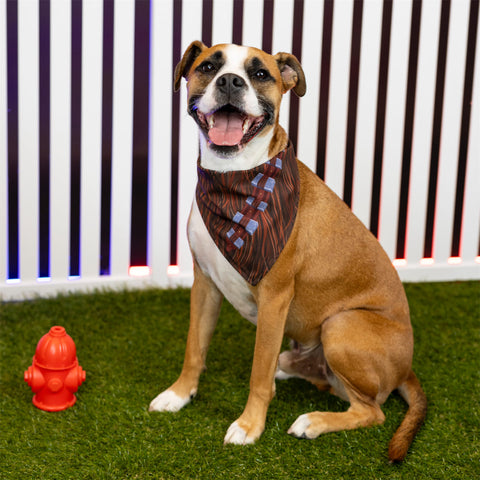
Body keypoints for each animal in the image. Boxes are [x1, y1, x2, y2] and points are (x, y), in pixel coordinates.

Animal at [150, 43, 428, 464]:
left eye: (259, 74)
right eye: (208, 66)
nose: (229, 81)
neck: (233, 181)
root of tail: (408, 369)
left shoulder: (274, 298)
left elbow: (257, 373)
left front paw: (249, 425)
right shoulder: (205, 285)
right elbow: (194, 349)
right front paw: (179, 395)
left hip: (341, 324)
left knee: (372, 411)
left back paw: (313, 421)